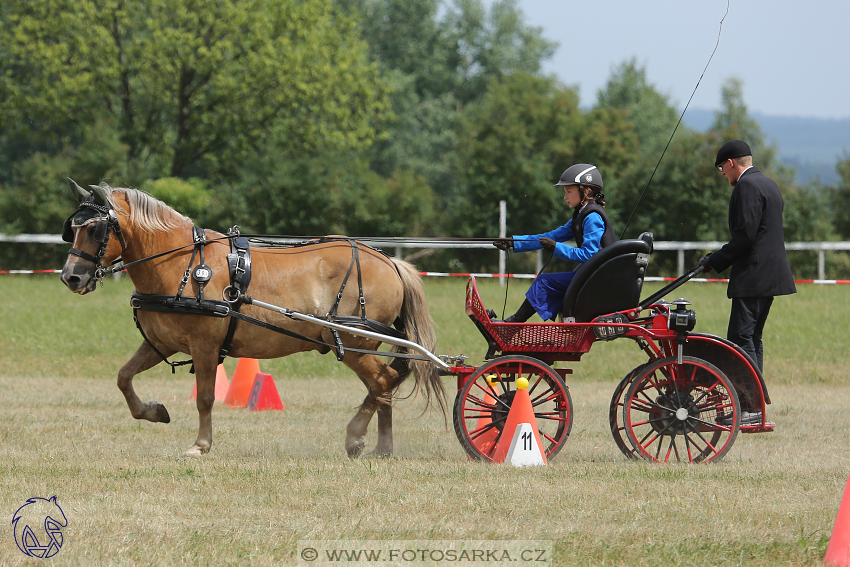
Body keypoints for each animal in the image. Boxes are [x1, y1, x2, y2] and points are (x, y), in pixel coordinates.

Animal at [58, 180, 444, 460]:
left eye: (95, 230)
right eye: (70, 230)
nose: (70, 277)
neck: (181, 263)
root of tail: (390, 261)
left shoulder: (205, 345)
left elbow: (205, 397)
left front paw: (200, 445)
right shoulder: (161, 342)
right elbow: (124, 378)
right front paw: (154, 411)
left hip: (352, 342)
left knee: (383, 381)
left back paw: (356, 438)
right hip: (363, 345)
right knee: (384, 384)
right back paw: (381, 447)